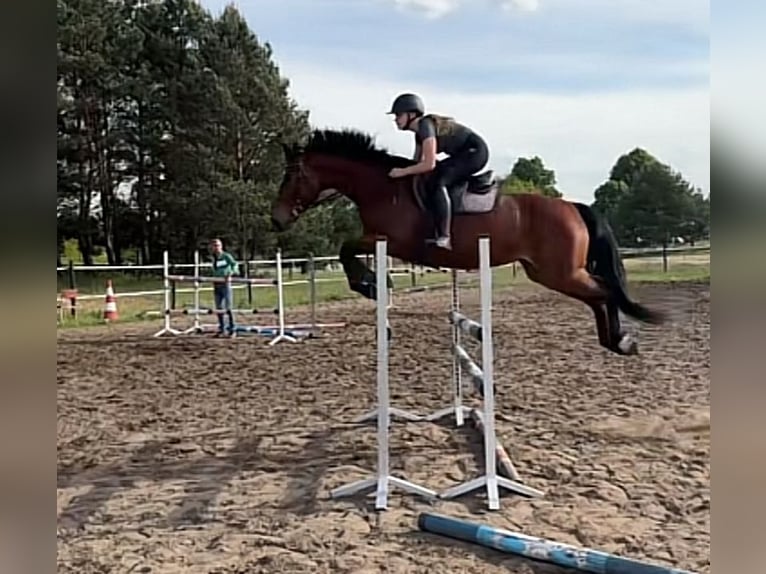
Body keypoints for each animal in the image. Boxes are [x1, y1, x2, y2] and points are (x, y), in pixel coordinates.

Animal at [271, 128, 665, 355]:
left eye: (292, 175)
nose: (276, 218)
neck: (382, 187)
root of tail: (572, 206)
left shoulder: (390, 242)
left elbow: (347, 249)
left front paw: (369, 284)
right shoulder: (384, 243)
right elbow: (347, 250)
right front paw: (371, 285)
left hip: (560, 272)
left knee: (604, 291)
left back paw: (621, 341)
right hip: (548, 273)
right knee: (599, 295)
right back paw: (615, 342)